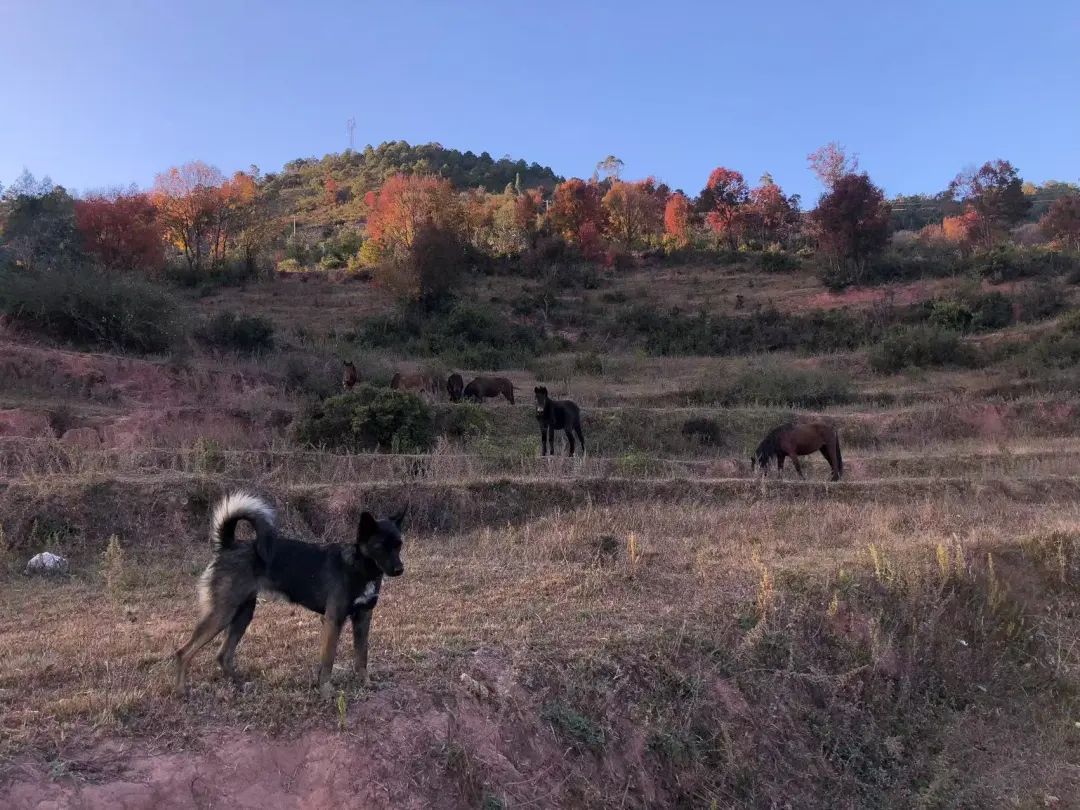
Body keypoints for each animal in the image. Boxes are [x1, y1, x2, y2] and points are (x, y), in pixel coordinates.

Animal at [174, 494, 406, 699]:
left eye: (399, 544)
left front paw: (365, 683)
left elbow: (361, 657)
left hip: (243, 613)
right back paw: (182, 691)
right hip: (223, 613)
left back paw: (240, 685)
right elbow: (328, 661)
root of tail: (229, 545)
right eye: (379, 546)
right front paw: (326, 691)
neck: (359, 566)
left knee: (223, 655)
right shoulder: (333, 620)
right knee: (184, 652)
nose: (399, 570)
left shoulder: (363, 618)